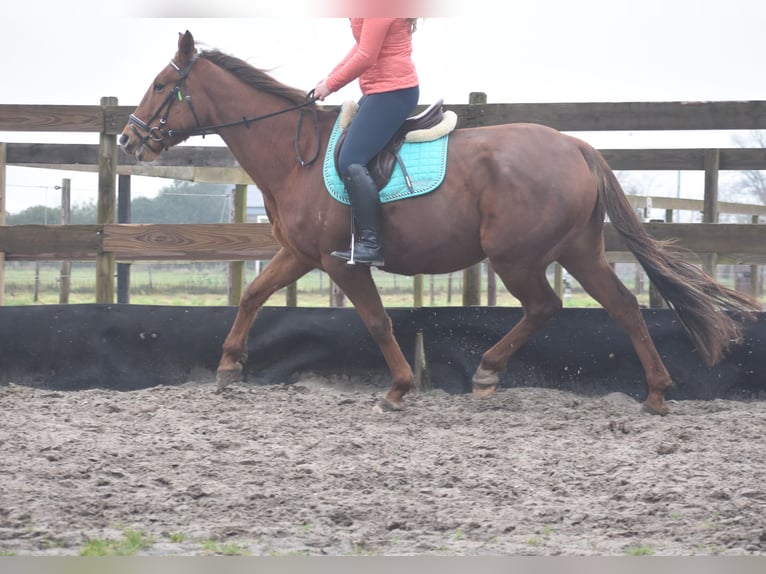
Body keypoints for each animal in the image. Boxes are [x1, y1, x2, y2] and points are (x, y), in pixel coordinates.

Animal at [120, 31, 760, 416]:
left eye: (160, 85)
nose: (128, 140)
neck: (293, 152)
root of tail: (574, 144)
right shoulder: (301, 255)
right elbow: (253, 292)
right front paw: (228, 366)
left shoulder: (338, 262)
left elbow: (376, 320)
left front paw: (399, 388)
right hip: (579, 251)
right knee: (623, 307)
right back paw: (655, 393)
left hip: (517, 257)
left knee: (546, 306)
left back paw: (489, 372)